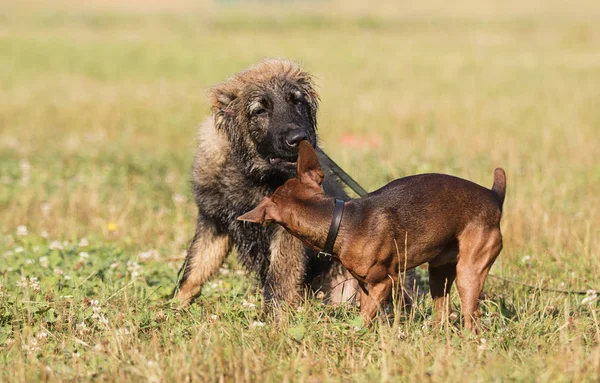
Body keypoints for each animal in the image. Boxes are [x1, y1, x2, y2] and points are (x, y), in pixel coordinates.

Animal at [239, 142, 506, 332]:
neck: (339, 221)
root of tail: (494, 196)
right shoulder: (365, 287)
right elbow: (363, 312)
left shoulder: (383, 282)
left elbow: (365, 319)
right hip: (439, 273)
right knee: (441, 313)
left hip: (469, 273)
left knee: (473, 320)